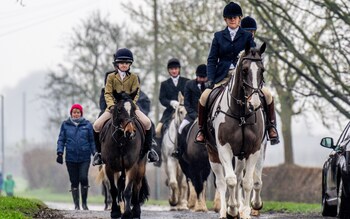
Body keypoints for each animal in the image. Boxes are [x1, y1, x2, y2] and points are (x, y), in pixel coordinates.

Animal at [206, 42, 266, 219]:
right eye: (245, 70)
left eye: (262, 70)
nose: (254, 104)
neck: (241, 114)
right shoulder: (224, 148)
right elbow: (230, 180)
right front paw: (231, 209)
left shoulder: (254, 149)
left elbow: (246, 182)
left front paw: (245, 211)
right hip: (213, 153)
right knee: (222, 181)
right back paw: (224, 211)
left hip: (241, 154)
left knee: (241, 177)